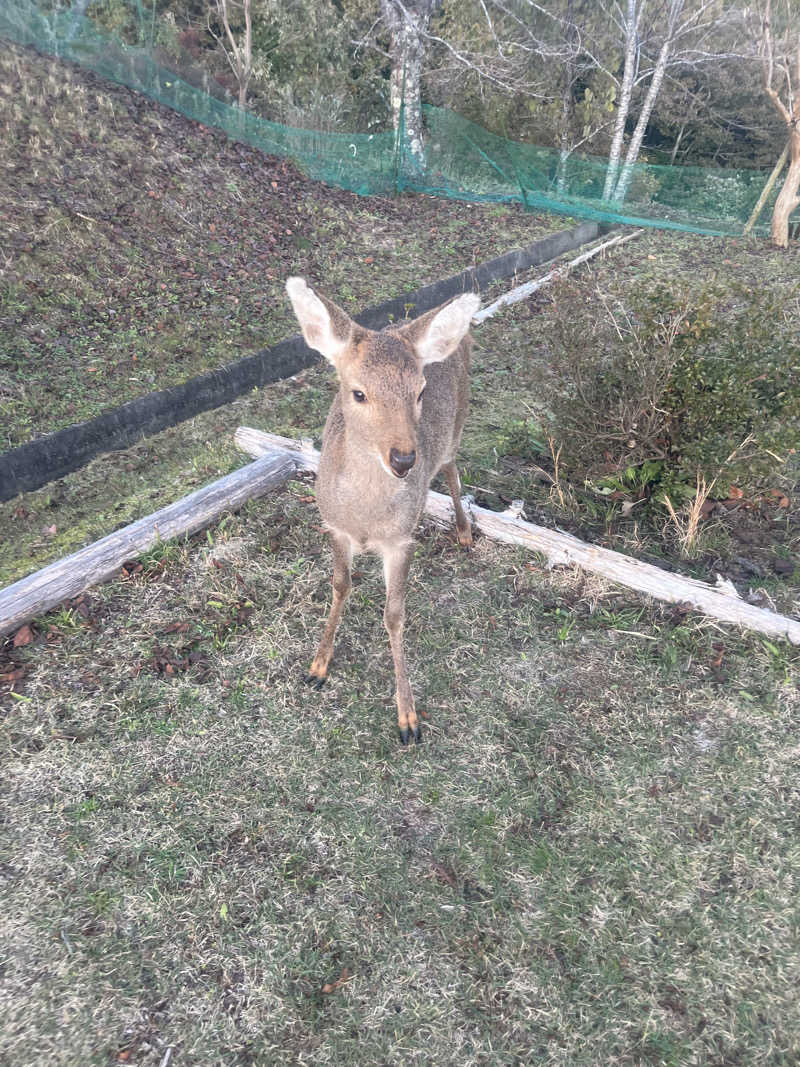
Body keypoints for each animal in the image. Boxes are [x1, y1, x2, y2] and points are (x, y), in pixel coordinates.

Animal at [285, 277, 480, 742]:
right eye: (358, 393)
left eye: (420, 391)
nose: (405, 459)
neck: (366, 518)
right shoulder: (333, 525)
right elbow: (340, 585)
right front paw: (317, 666)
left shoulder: (402, 538)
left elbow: (394, 614)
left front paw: (408, 717)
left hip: (459, 422)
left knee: (451, 466)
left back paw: (464, 531)